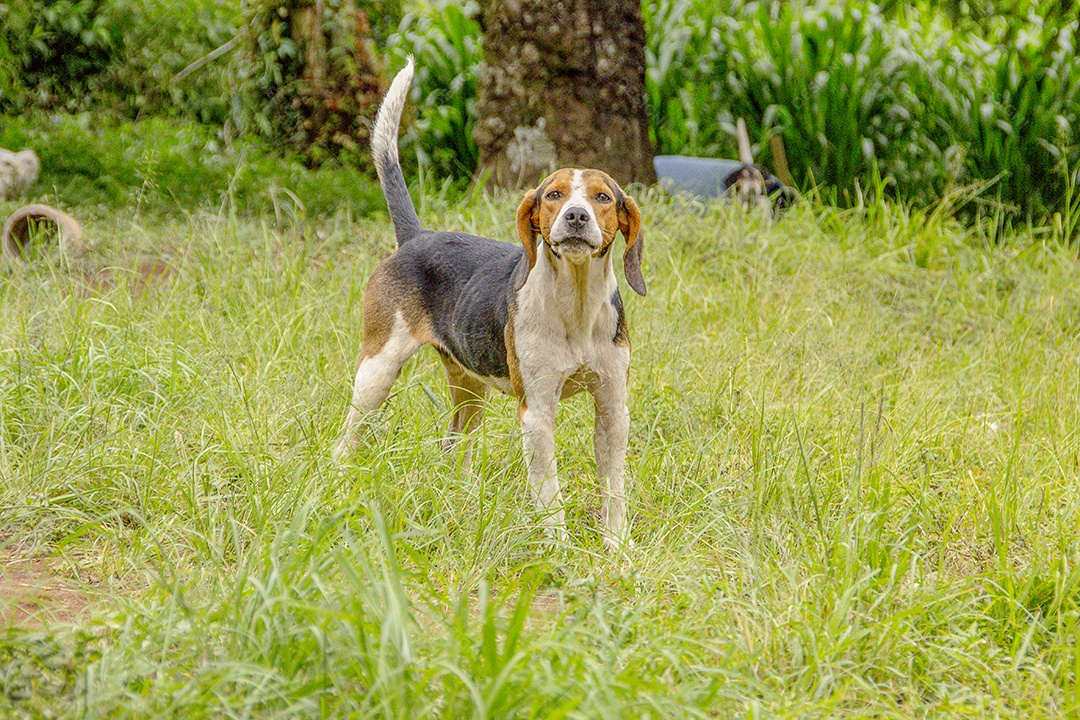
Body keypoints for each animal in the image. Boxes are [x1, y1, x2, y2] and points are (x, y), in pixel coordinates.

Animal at [332, 59, 643, 548]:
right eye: (553, 195)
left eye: (603, 197)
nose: (576, 216)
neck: (574, 303)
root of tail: (416, 237)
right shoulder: (536, 412)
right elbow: (549, 493)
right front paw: (558, 547)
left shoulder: (613, 408)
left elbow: (614, 488)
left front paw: (616, 546)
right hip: (376, 372)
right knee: (346, 440)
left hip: (468, 389)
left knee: (454, 444)